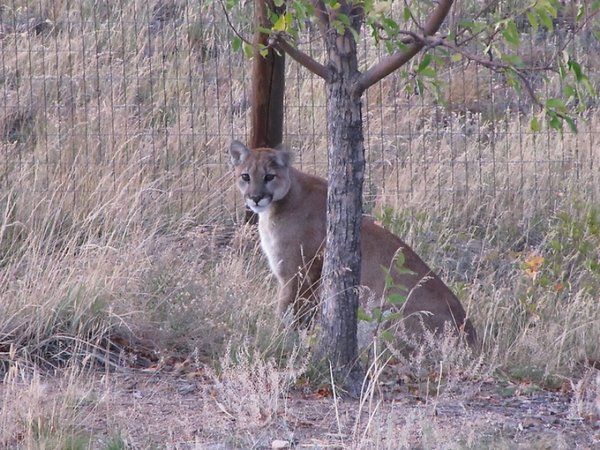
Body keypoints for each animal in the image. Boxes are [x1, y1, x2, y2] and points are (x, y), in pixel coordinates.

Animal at [227, 141, 476, 348]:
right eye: (246, 176)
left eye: (269, 176)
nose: (255, 198)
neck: (277, 206)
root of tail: (472, 337)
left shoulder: (298, 274)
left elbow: (287, 312)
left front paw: (277, 338)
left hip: (386, 311)